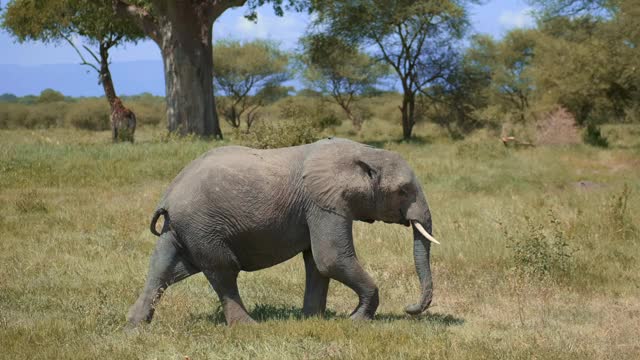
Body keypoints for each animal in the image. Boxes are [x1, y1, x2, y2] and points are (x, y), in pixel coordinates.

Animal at [130, 136, 440, 324]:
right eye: (403, 191)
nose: (409, 309)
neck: (365, 152)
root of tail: (168, 196)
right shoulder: (323, 204)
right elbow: (331, 259)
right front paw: (355, 321)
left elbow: (317, 263)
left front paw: (314, 320)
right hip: (203, 226)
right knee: (223, 271)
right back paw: (248, 326)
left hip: (180, 228)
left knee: (161, 269)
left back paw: (135, 326)